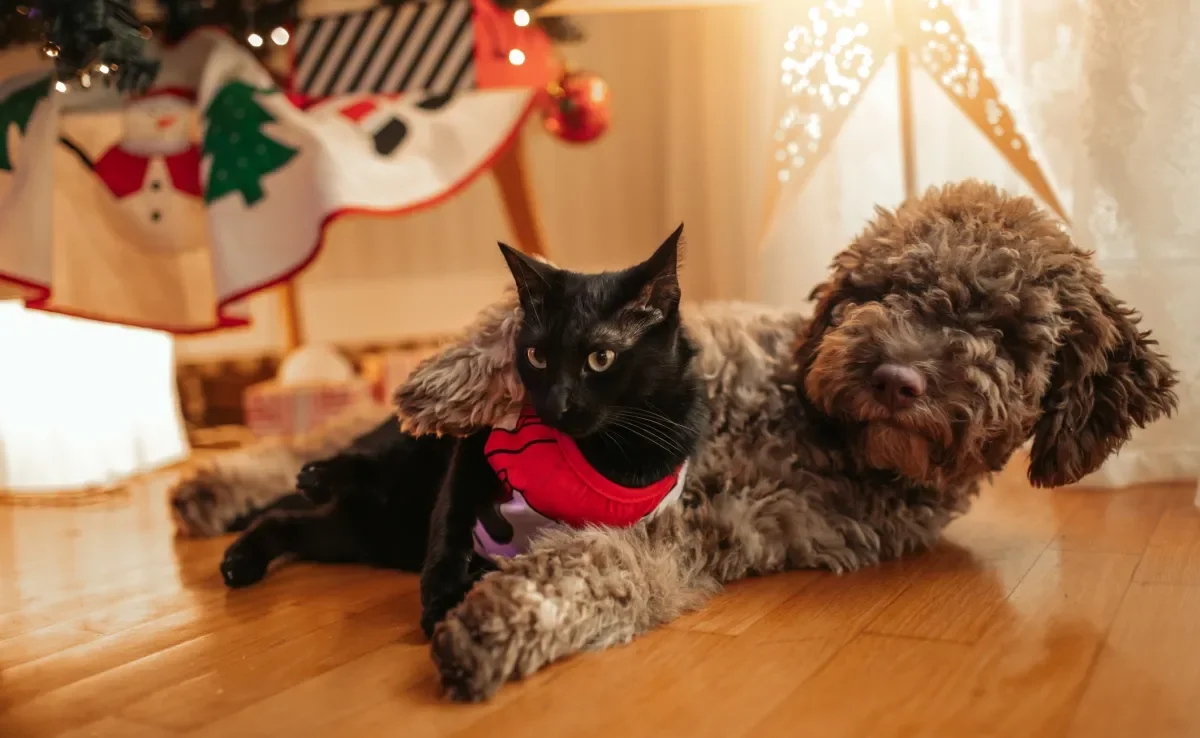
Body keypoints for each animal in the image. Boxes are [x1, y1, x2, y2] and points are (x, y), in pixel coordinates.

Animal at [219, 228, 705, 638]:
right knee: (351, 472)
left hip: (367, 535)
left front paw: (469, 588)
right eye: (537, 356)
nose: (556, 404)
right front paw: (442, 598)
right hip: (402, 464)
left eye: (600, 358)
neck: (595, 449)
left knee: (290, 523)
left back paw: (243, 561)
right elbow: (450, 519)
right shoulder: (474, 448)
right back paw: (314, 482)